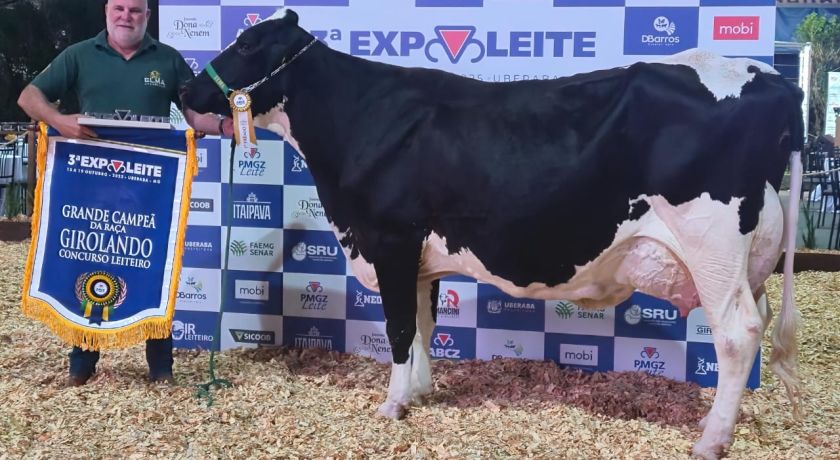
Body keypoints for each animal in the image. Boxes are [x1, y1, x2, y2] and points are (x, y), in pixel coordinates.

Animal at [181, 9, 804, 459]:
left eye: (245, 46)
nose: (185, 94)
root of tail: (770, 79)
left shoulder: (390, 237)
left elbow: (399, 327)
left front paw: (392, 405)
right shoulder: (421, 254)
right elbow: (424, 321)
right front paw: (420, 390)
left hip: (713, 247)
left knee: (737, 334)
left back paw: (711, 440)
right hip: (751, 260)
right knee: (758, 320)